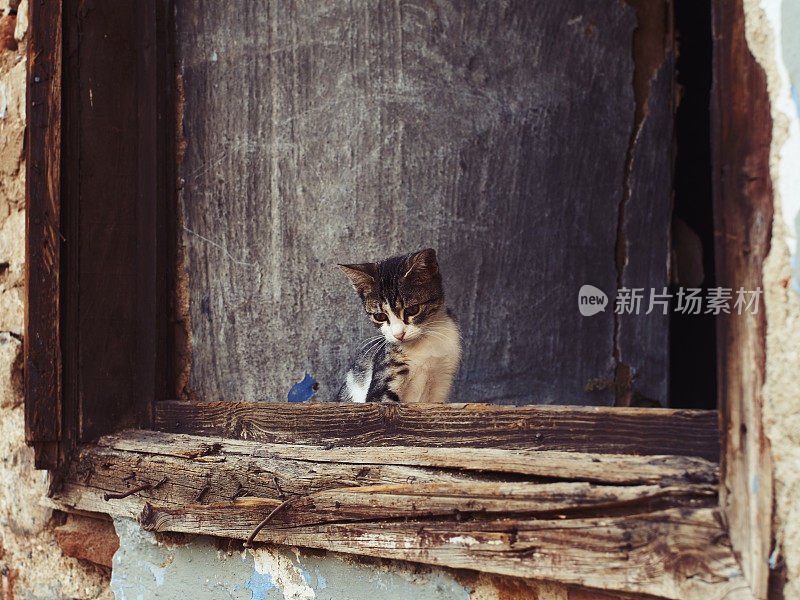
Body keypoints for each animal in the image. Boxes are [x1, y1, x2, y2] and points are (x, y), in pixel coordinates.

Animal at [336, 248, 462, 404]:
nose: (398, 334)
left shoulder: (443, 378)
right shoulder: (387, 373)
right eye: (380, 316)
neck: (423, 345)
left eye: (413, 310)